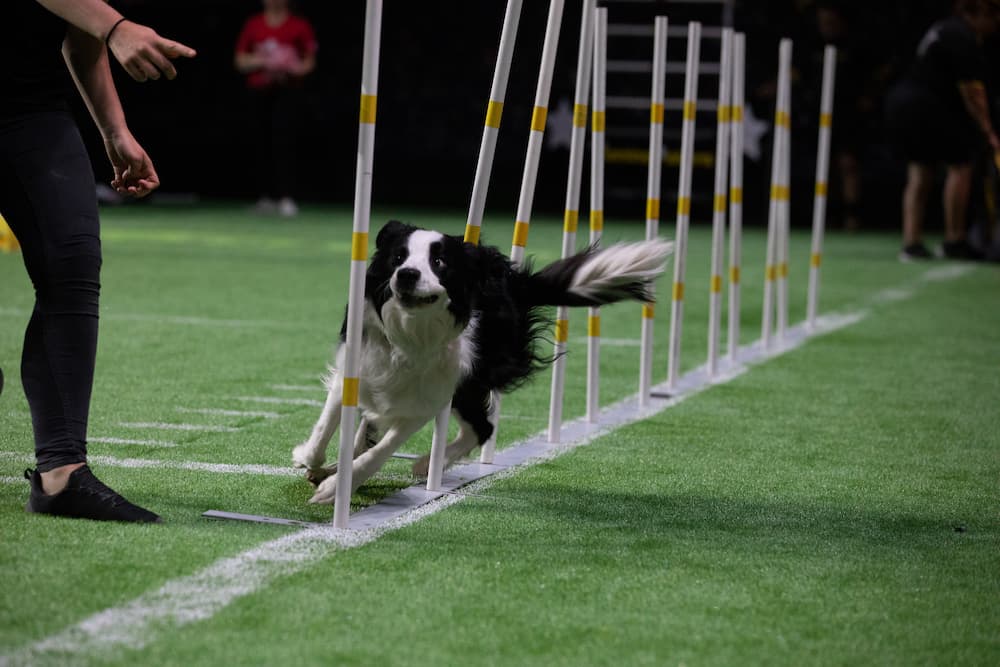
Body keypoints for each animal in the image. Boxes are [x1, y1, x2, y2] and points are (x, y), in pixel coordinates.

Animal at [294, 222, 672, 504]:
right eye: (398, 257)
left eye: (440, 263)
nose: (406, 274)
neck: (411, 331)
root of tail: (515, 282)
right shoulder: (356, 366)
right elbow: (327, 425)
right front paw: (315, 461)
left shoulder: (427, 398)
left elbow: (383, 450)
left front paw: (337, 487)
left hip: (470, 379)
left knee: (482, 427)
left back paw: (426, 465)